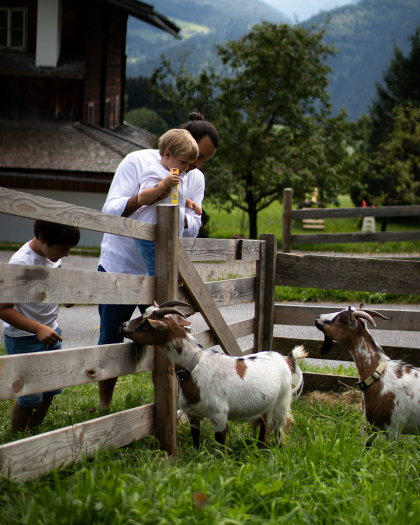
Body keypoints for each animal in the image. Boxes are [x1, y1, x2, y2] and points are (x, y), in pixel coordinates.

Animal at [120, 302, 306, 446]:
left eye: (146, 324)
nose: (123, 326)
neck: (195, 368)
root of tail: (284, 359)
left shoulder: (220, 416)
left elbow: (220, 446)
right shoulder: (193, 415)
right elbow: (196, 442)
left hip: (281, 403)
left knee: (279, 429)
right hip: (265, 406)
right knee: (265, 425)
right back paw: (260, 447)